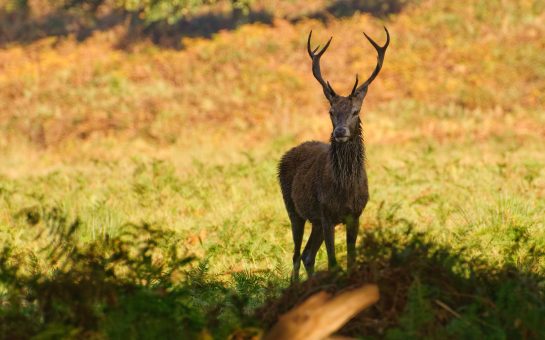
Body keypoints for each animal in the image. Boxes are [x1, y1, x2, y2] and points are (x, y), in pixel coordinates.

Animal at [278, 27, 388, 282]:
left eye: (356, 111)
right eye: (330, 111)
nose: (340, 132)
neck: (344, 189)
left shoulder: (354, 214)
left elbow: (350, 260)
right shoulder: (327, 214)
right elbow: (332, 262)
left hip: (316, 221)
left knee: (307, 255)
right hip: (294, 209)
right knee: (296, 254)